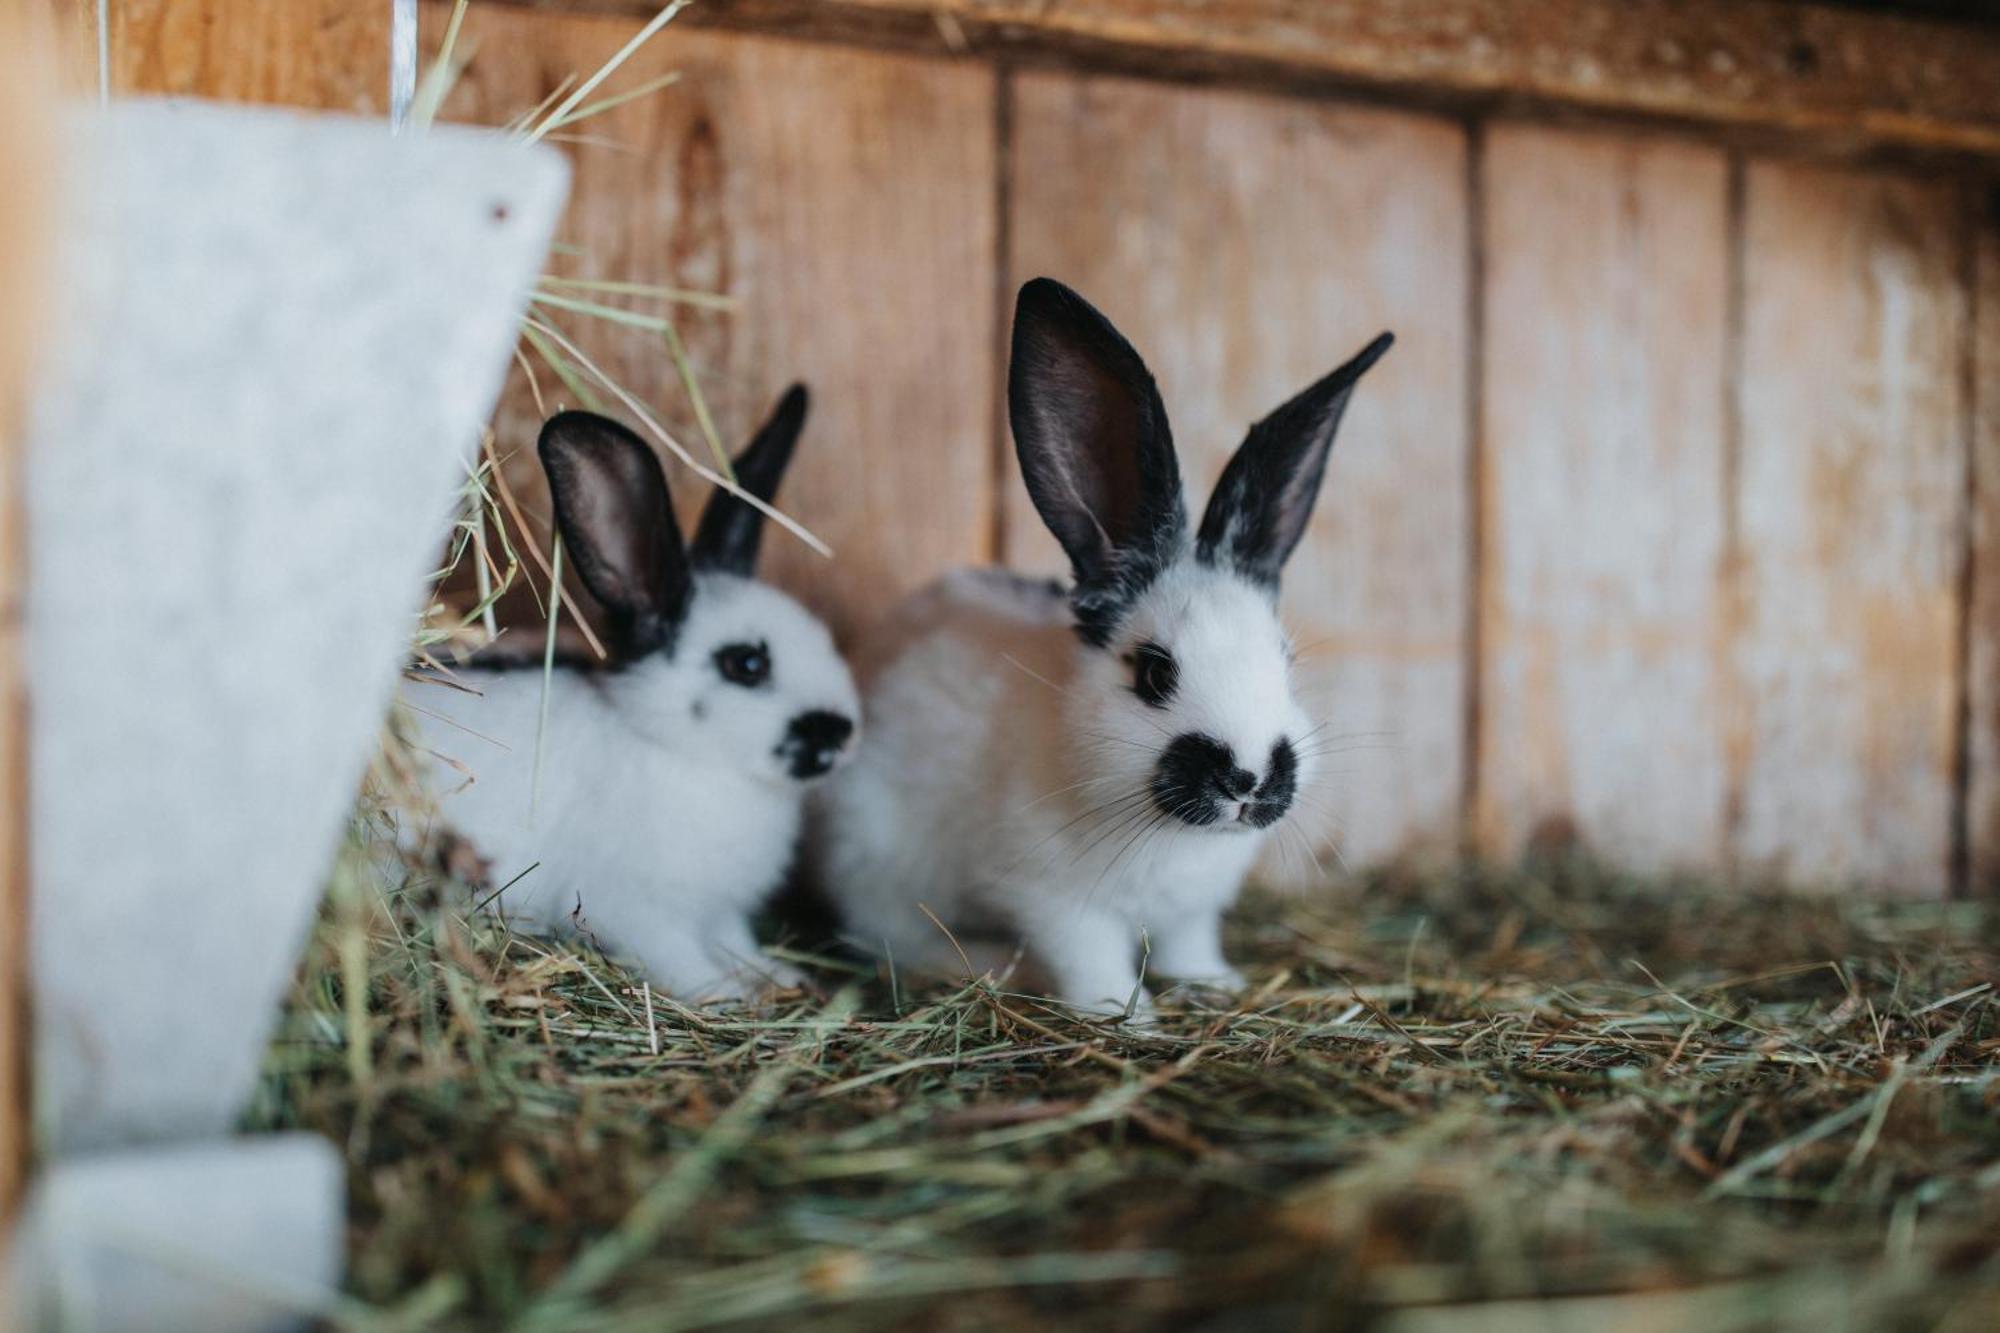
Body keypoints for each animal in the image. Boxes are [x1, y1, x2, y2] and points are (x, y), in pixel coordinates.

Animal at [414, 390, 860, 1000]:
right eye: (746, 664)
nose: (841, 729)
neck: (682, 753)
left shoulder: (720, 914)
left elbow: (738, 945)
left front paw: (780, 976)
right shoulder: (636, 911)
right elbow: (679, 960)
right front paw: (728, 995)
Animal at [816, 280, 1392, 1008]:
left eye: (1285, 661)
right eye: (1153, 673)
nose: (1250, 778)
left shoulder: (1193, 911)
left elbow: (1189, 944)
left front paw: (1214, 985)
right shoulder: (1056, 899)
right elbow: (1090, 961)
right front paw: (1126, 1014)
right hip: (873, 853)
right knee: (889, 934)